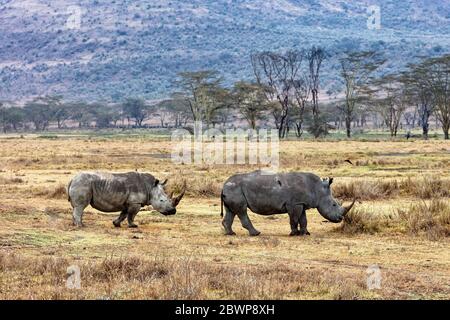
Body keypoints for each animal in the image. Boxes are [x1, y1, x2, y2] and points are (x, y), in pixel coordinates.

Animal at [221, 170, 356, 235]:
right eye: (334, 204)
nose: (340, 219)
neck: (317, 188)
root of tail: (223, 186)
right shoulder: (294, 204)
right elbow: (294, 219)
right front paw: (294, 233)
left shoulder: (301, 203)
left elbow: (303, 219)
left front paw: (305, 233)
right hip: (235, 189)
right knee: (242, 210)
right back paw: (256, 234)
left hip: (232, 190)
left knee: (231, 211)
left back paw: (230, 233)